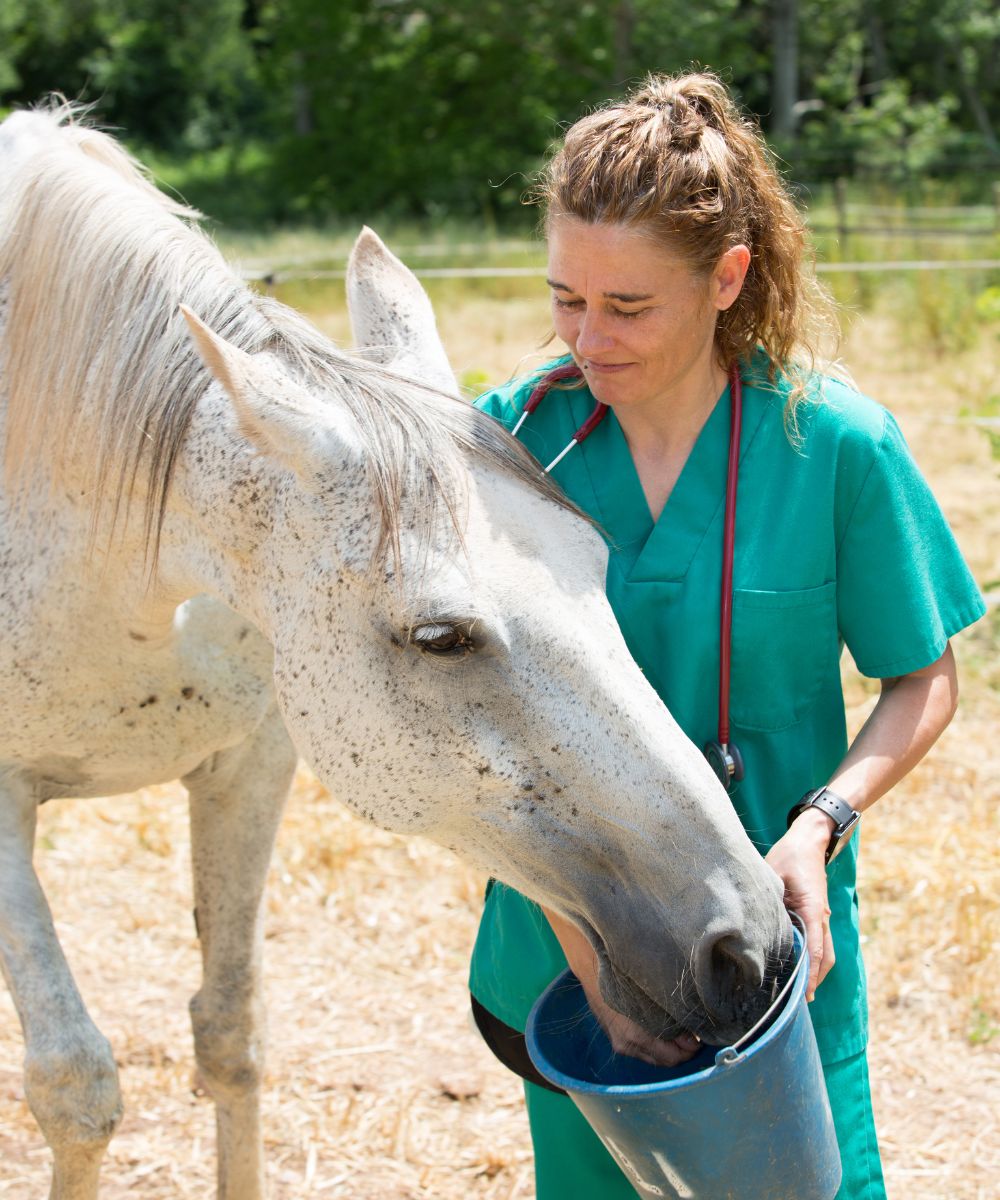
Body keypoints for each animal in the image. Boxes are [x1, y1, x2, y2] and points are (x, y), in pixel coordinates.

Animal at [1, 105, 787, 1200]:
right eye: (439, 639)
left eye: (598, 561)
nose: (746, 942)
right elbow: (75, 1085)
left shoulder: (248, 766)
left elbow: (231, 1032)